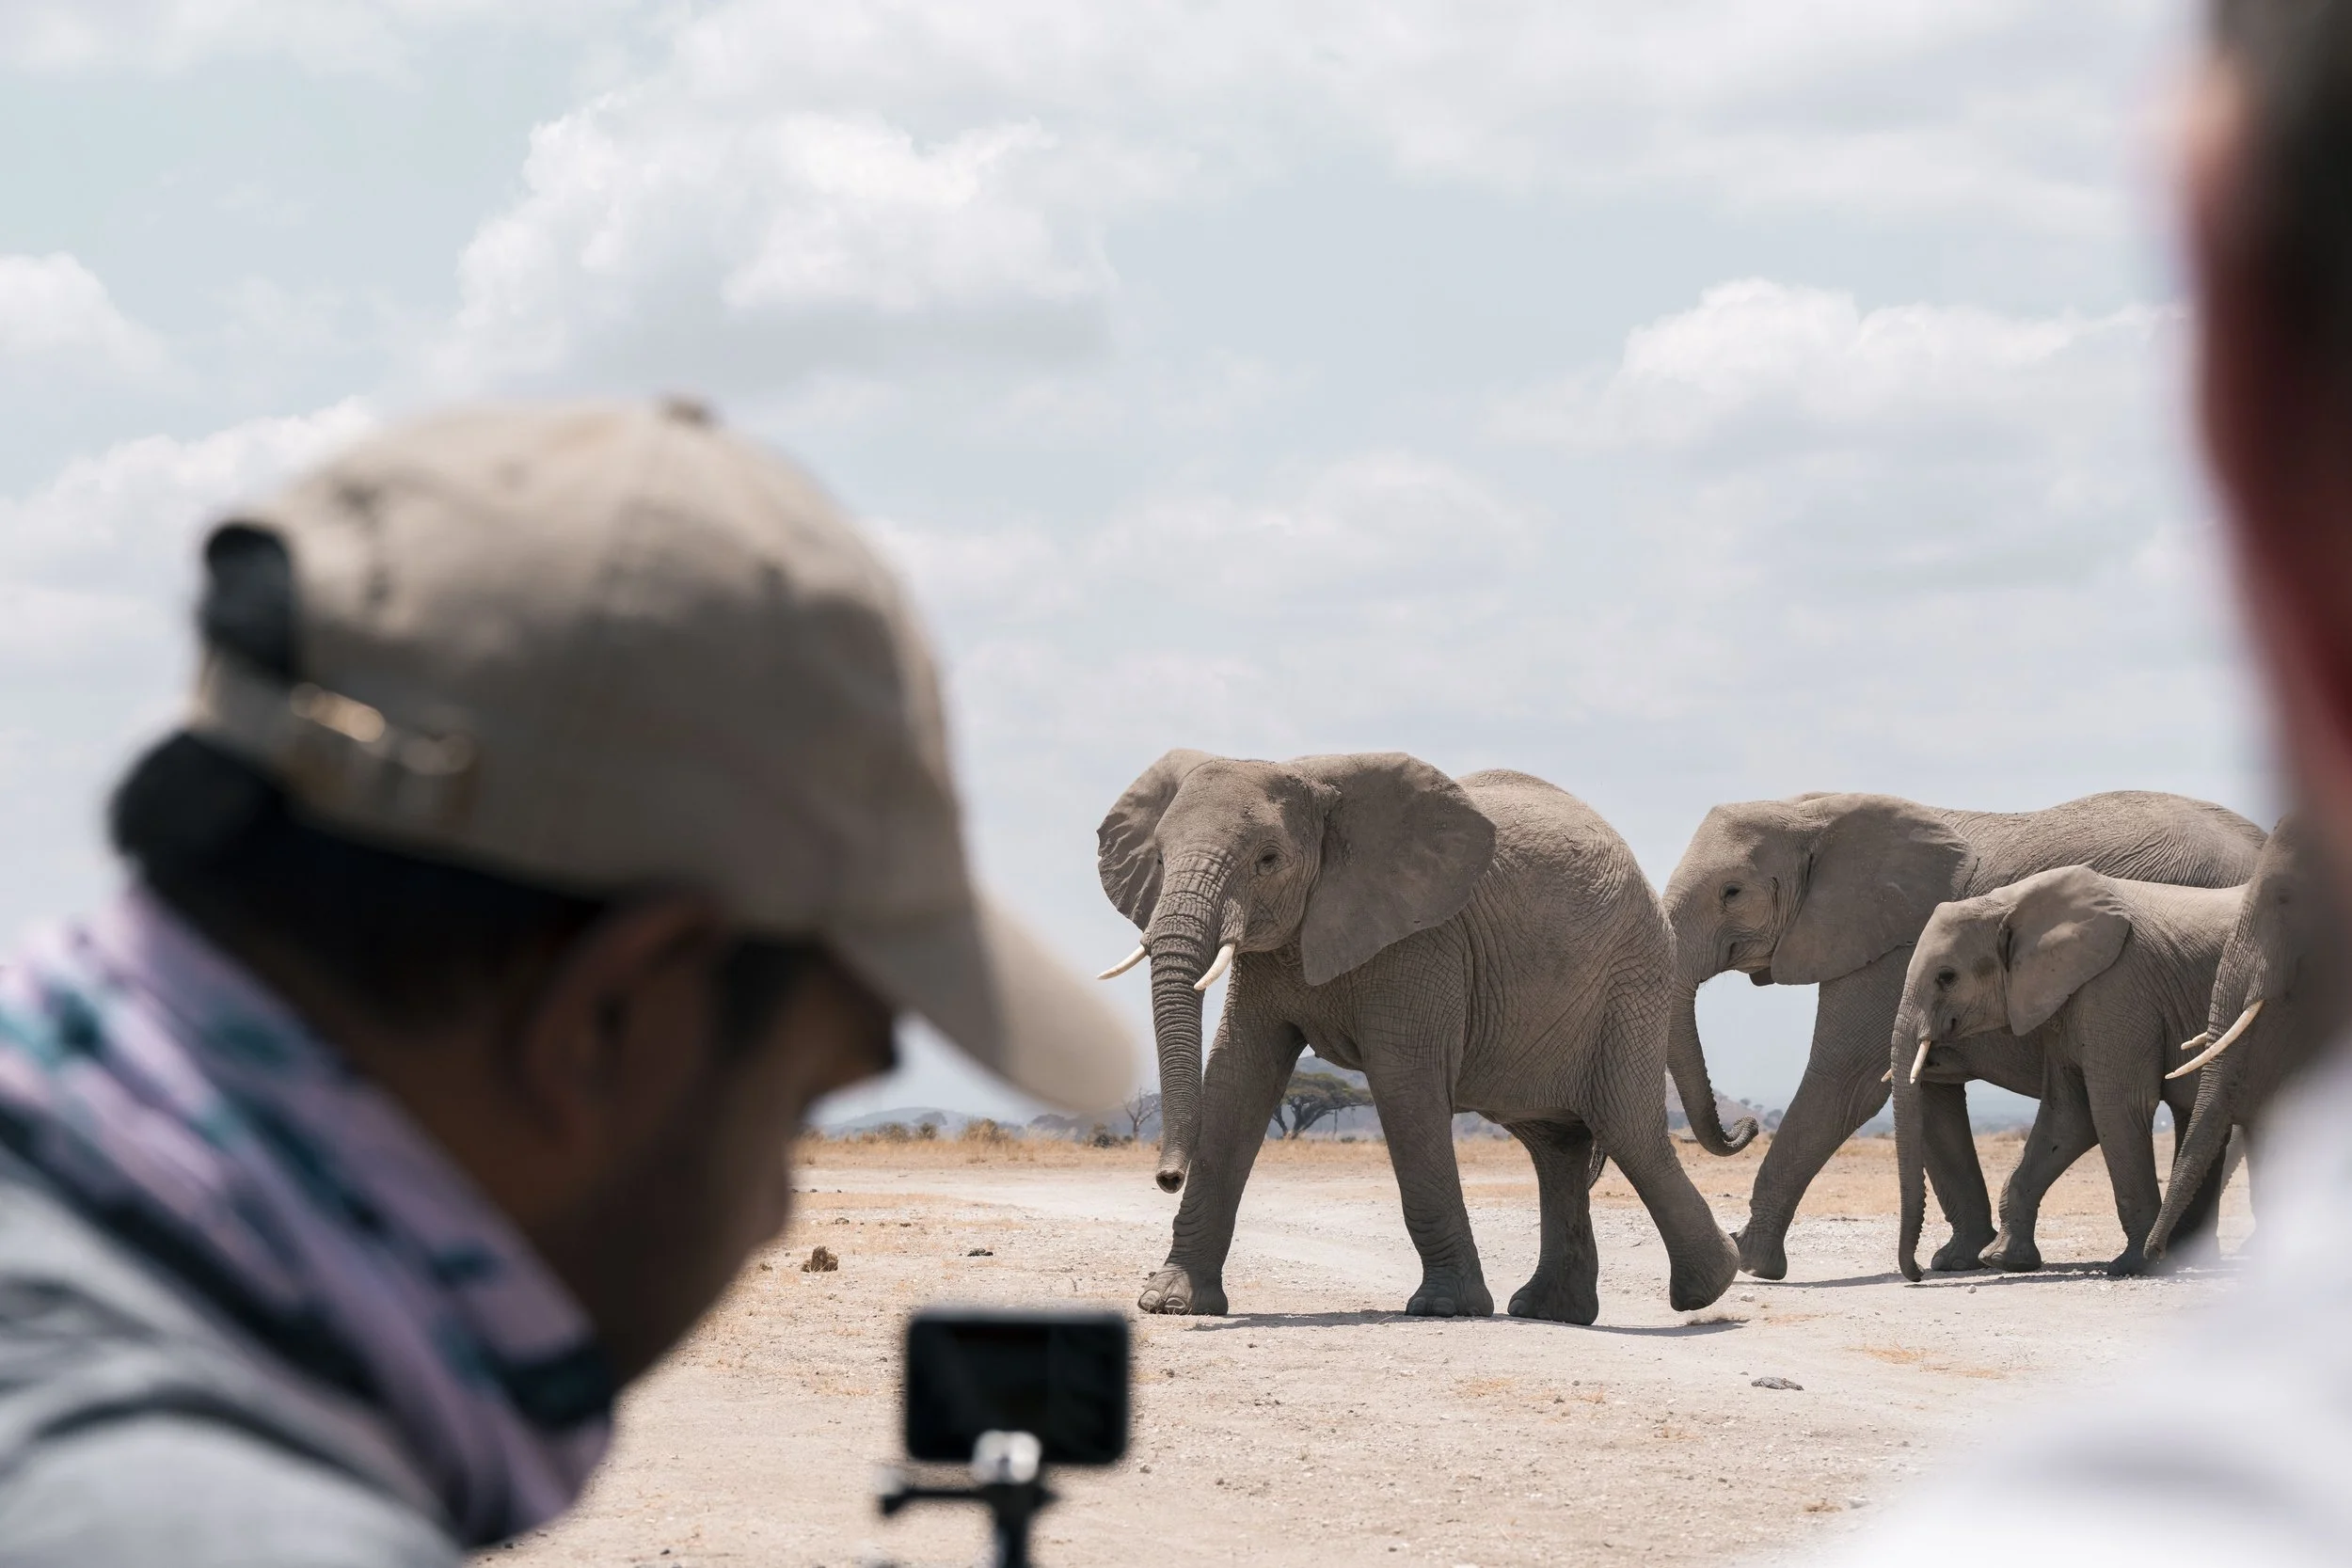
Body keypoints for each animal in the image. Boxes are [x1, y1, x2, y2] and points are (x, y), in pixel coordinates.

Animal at [1095, 751, 1738, 1323]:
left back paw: (1710, 1286)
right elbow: (1238, 1077)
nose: (1166, 1176)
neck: (1312, 780)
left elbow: (1404, 1083)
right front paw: (1170, 1302)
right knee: (1555, 1144)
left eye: (1268, 859)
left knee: (1625, 1125)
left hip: (1634, 977)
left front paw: (1446, 1308)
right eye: (1158, 859)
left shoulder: (1423, 941)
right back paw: (1550, 1311)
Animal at [1890, 866, 2236, 1280]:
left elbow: (2117, 1108)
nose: (1917, 1273)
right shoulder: (2064, 1001)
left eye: (1946, 977)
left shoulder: (2117, 989)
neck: (2010, 902)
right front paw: (2004, 1260)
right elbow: (2069, 1116)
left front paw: (2134, 1267)